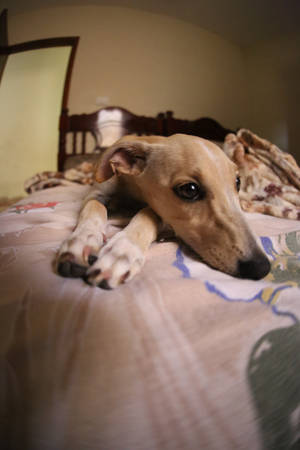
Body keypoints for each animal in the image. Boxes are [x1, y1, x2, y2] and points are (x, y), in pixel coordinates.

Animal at [55, 134, 270, 288]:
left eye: (238, 182)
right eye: (190, 189)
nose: (261, 267)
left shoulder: (167, 218)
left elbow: (148, 213)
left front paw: (122, 251)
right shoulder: (96, 194)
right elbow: (95, 207)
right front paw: (82, 242)